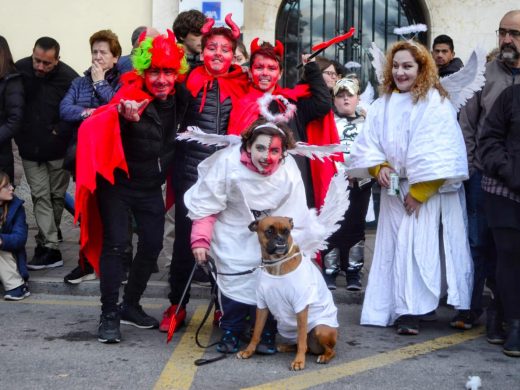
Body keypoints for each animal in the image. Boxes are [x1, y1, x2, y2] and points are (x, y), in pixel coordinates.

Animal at [236, 216, 338, 372]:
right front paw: (249, 351)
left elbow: (302, 340)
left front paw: (299, 361)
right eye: (269, 231)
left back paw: (324, 357)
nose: (280, 239)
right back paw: (285, 347)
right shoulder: (262, 306)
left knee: (327, 349)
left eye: (286, 231)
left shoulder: (301, 307)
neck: (277, 264)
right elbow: (256, 332)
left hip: (321, 330)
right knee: (303, 344)